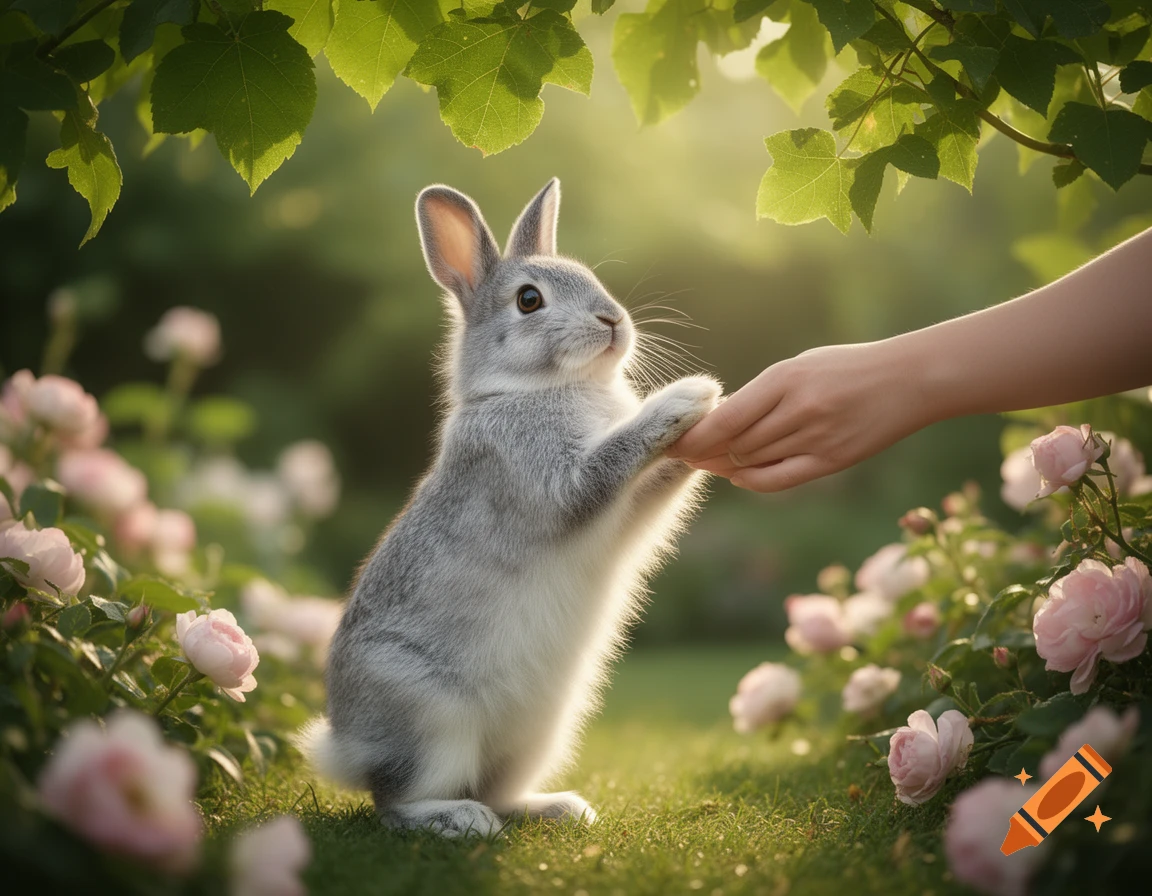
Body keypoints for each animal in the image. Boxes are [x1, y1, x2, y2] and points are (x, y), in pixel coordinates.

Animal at [297, 178, 721, 838]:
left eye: (587, 276)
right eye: (528, 300)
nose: (612, 320)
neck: (537, 389)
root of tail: (347, 748)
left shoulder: (628, 514)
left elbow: (655, 490)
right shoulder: (557, 481)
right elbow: (613, 457)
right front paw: (690, 396)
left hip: (540, 733)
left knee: (498, 790)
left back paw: (560, 808)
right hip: (434, 722)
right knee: (396, 802)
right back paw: (458, 820)